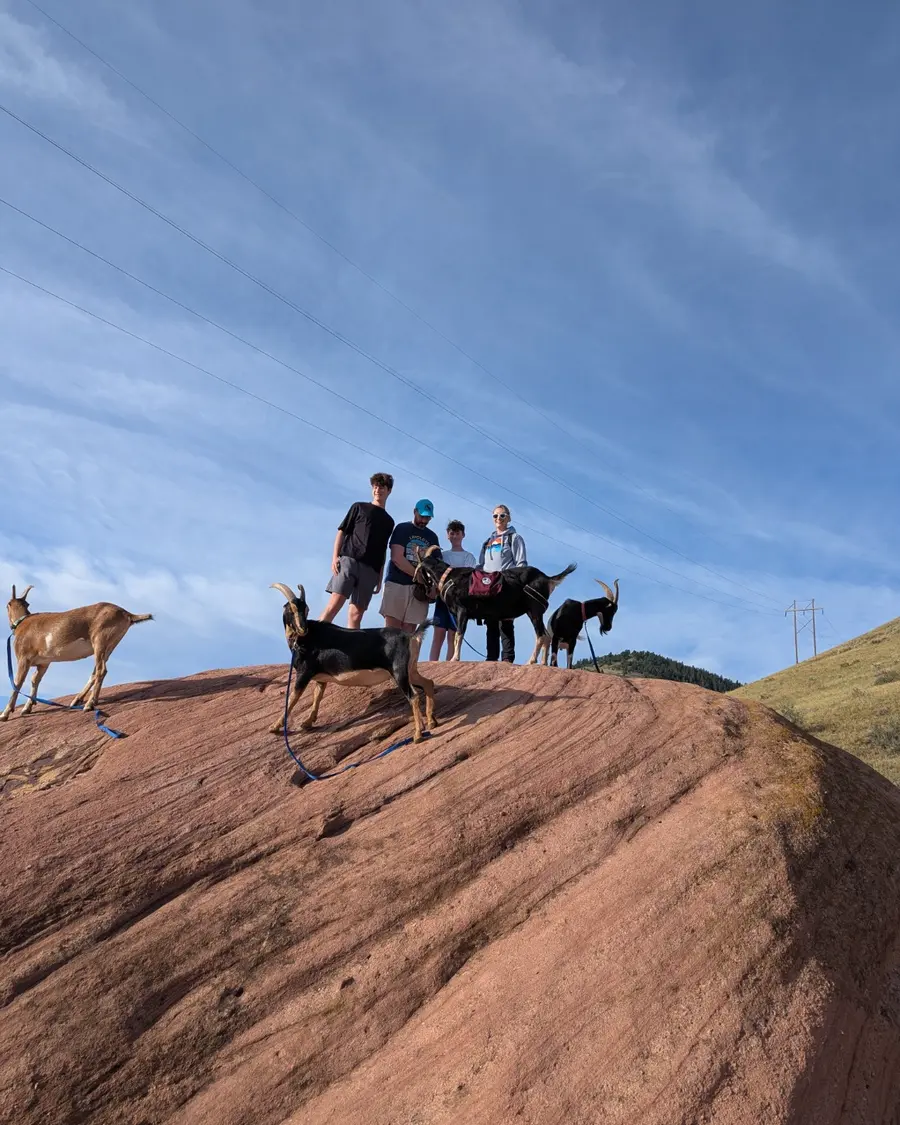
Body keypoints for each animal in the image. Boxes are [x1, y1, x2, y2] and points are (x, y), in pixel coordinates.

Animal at [2, 584, 153, 721]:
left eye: (7, 605)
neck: (23, 622)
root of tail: (126, 613)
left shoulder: (24, 659)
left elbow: (17, 683)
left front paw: (5, 713)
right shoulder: (44, 663)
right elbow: (35, 680)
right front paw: (27, 708)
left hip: (100, 640)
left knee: (101, 670)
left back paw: (89, 704)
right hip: (109, 646)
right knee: (95, 672)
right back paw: (77, 700)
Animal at [269, 583, 438, 742]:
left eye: (306, 610)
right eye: (291, 610)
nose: (303, 629)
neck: (305, 639)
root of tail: (410, 636)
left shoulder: (304, 673)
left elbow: (292, 698)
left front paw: (274, 727)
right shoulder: (321, 677)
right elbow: (317, 696)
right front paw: (308, 722)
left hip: (399, 671)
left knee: (413, 696)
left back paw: (418, 734)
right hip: (411, 670)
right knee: (428, 683)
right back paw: (431, 721)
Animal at [412, 547, 576, 663]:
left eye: (418, 569)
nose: (416, 586)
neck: (448, 577)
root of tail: (547, 578)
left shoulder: (462, 611)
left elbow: (459, 635)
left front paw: (454, 658)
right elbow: (456, 637)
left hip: (534, 610)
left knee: (541, 635)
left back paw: (531, 661)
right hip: (535, 612)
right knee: (547, 637)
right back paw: (542, 663)